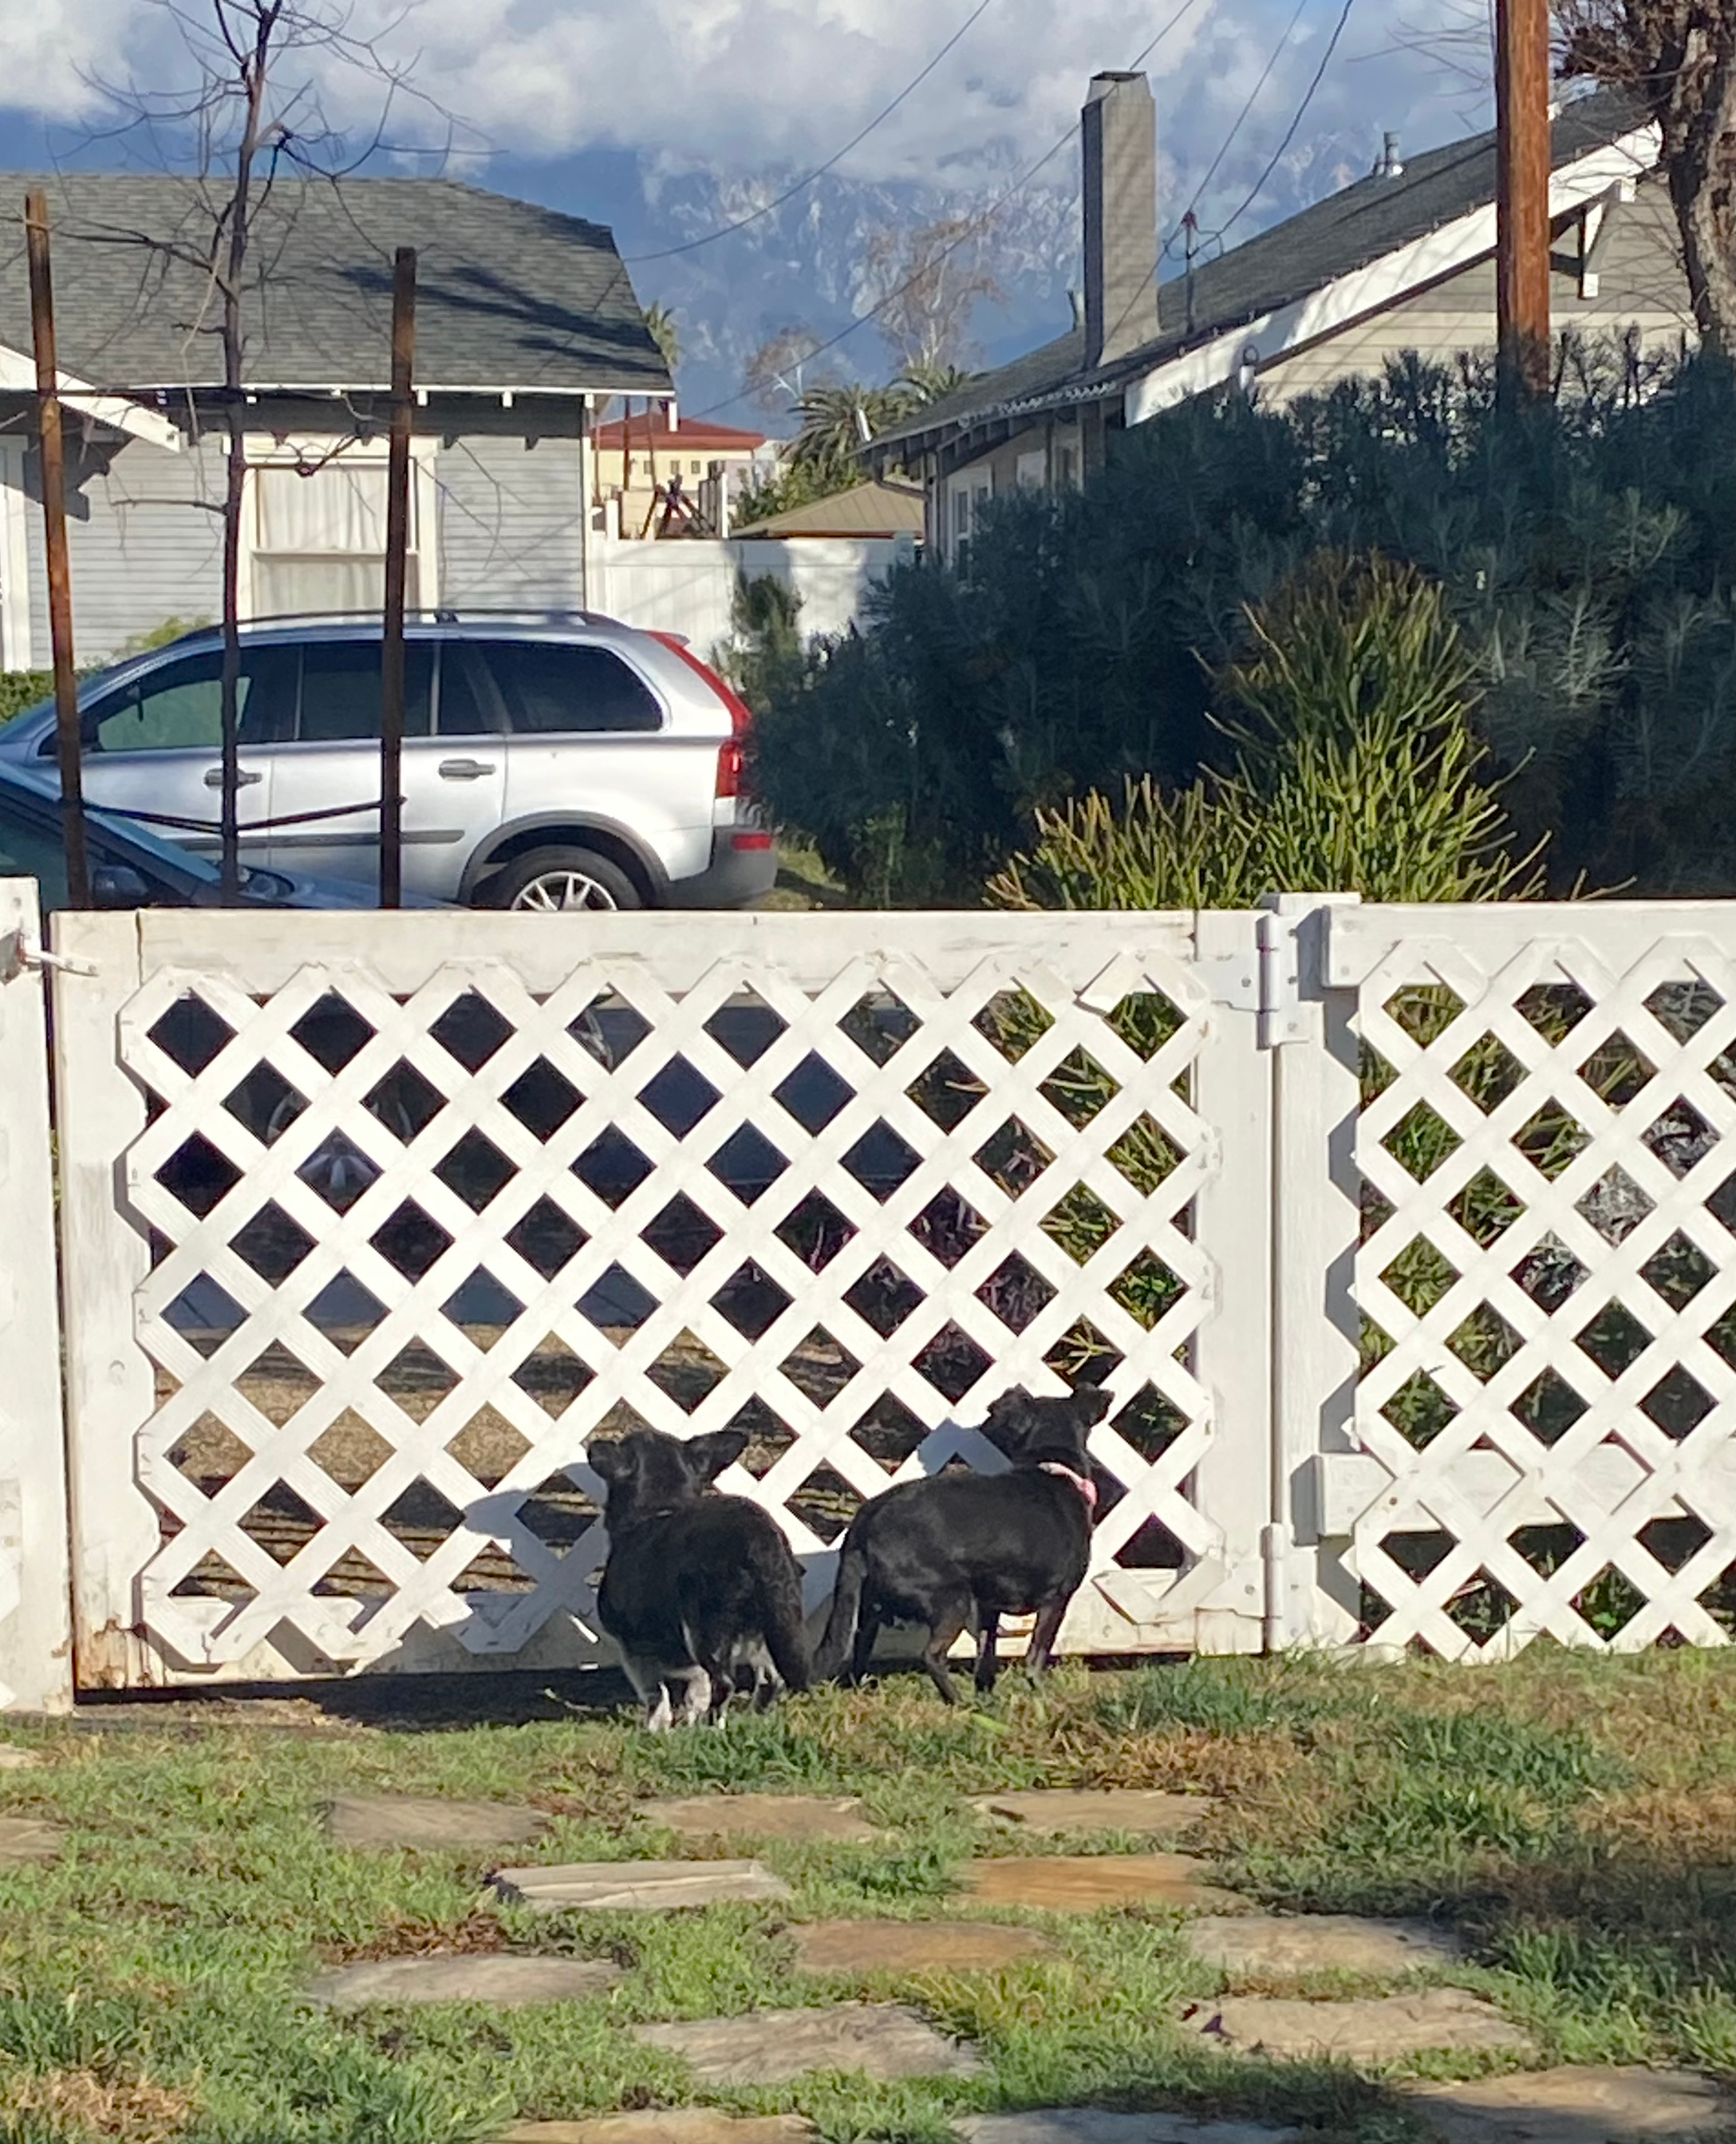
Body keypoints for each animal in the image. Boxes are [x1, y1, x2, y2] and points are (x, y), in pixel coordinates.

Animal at [587, 1431, 810, 1732]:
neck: (660, 1509)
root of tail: (759, 1539)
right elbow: (696, 1693)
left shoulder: (634, 1651)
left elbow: (656, 1695)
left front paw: (657, 1729)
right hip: (768, 1627)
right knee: (770, 1679)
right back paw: (753, 1720)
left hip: (704, 1632)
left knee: (725, 1683)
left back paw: (713, 1729)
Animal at [814, 1389, 1106, 1706]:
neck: (1052, 1467)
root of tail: (867, 1518)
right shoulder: (1056, 1600)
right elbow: (1035, 1658)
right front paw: (1041, 1696)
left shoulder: (990, 1607)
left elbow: (986, 1658)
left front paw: (988, 1701)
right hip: (952, 1600)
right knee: (931, 1655)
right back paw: (957, 1701)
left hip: (870, 1608)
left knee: (860, 1651)